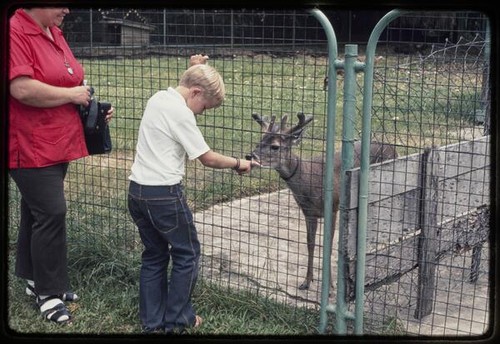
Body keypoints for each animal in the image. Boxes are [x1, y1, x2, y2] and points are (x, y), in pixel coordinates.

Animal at [247, 113, 398, 290]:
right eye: (260, 140)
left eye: (275, 146)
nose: (250, 156)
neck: (309, 180)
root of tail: (393, 148)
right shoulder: (309, 213)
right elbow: (310, 244)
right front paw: (306, 281)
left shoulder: (332, 207)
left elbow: (328, 245)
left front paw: (331, 286)